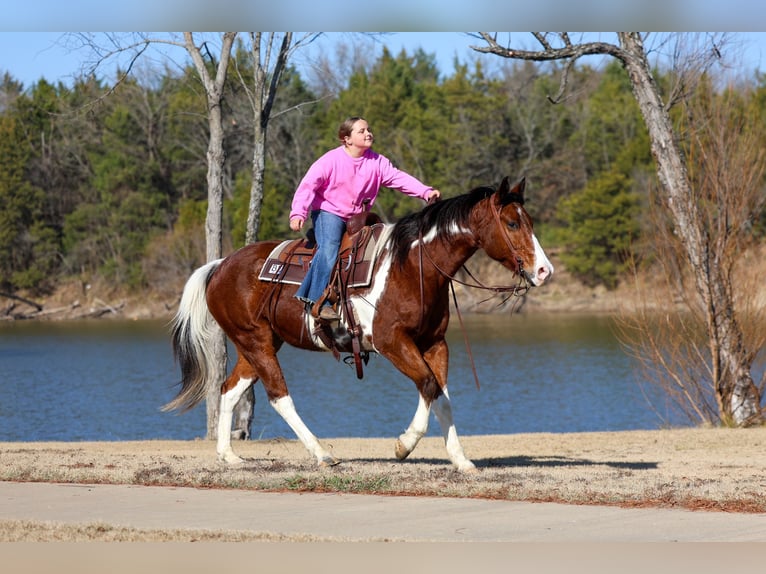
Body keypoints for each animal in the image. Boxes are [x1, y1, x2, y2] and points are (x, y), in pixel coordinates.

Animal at [165, 176, 553, 471]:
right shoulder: (392, 342)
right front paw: (403, 445)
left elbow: (441, 397)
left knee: (229, 390)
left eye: (530, 221)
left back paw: (229, 456)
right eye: (512, 223)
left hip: (258, 344)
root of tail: (220, 265)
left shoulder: (434, 343)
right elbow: (428, 386)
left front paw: (461, 460)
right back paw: (322, 454)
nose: (544, 271)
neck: (411, 266)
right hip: (255, 341)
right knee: (279, 396)